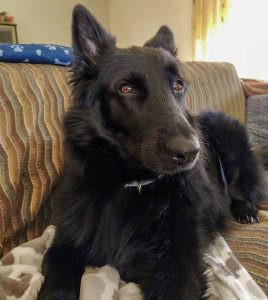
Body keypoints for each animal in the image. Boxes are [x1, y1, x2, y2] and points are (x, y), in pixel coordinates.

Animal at [37, 5, 266, 300]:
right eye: (126, 88)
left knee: (242, 188)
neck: (129, 183)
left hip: (227, 134)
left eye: (178, 85)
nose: (191, 152)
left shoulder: (176, 271)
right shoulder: (64, 244)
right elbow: (55, 283)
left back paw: (245, 208)